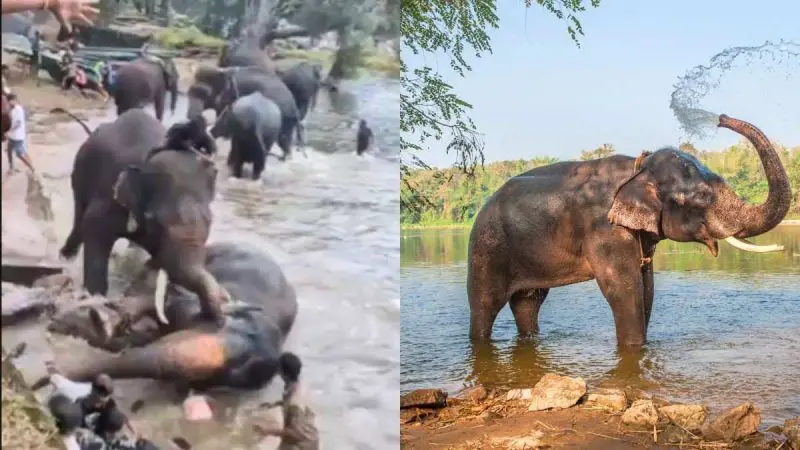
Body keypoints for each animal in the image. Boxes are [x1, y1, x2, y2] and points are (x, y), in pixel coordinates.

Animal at [53, 107, 230, 327]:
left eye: (209, 222)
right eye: (157, 222)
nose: (220, 319)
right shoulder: (109, 197)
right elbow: (94, 229)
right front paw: (98, 301)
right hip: (80, 171)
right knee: (80, 214)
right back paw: (66, 256)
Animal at [467, 114, 792, 348]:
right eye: (701, 196)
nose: (721, 118)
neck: (639, 167)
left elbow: (646, 286)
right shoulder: (604, 228)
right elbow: (623, 288)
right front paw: (634, 349)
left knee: (528, 302)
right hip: (487, 248)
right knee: (485, 304)